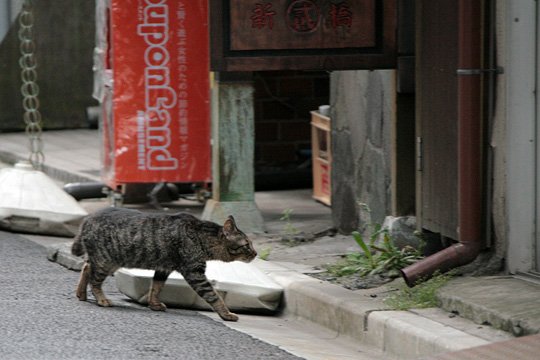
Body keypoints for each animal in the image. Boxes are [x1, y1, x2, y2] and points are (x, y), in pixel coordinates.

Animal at [71, 207, 258, 322]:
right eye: (247, 245)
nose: (256, 253)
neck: (203, 238)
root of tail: (88, 218)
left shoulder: (163, 269)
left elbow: (156, 287)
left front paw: (154, 304)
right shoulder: (195, 273)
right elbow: (214, 295)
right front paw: (226, 314)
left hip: (110, 260)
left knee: (86, 267)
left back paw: (81, 294)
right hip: (105, 261)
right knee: (94, 281)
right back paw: (101, 299)